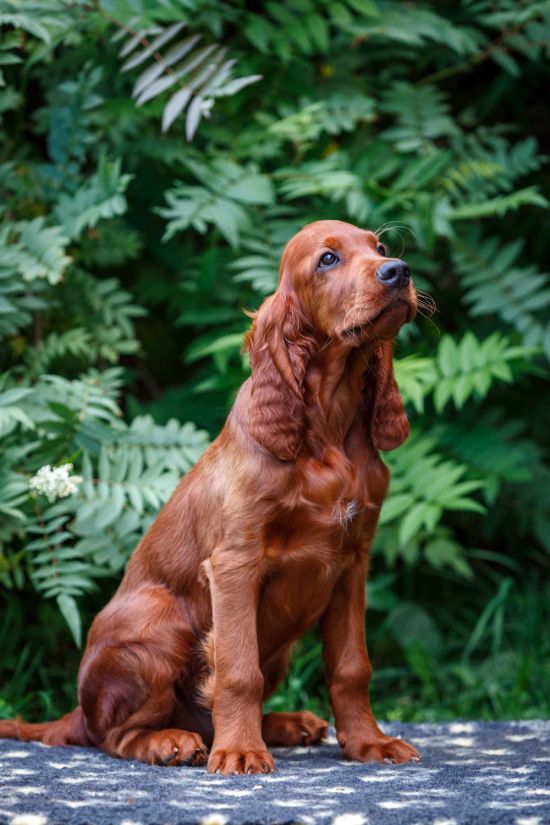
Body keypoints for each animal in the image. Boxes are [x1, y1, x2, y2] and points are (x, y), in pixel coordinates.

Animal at [0, 219, 420, 772]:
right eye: (327, 259)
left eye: (381, 247)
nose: (399, 272)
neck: (328, 423)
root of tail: (77, 709)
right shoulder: (234, 563)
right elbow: (238, 672)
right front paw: (240, 751)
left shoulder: (352, 565)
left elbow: (352, 668)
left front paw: (370, 742)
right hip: (161, 622)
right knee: (110, 734)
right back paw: (171, 741)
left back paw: (285, 725)